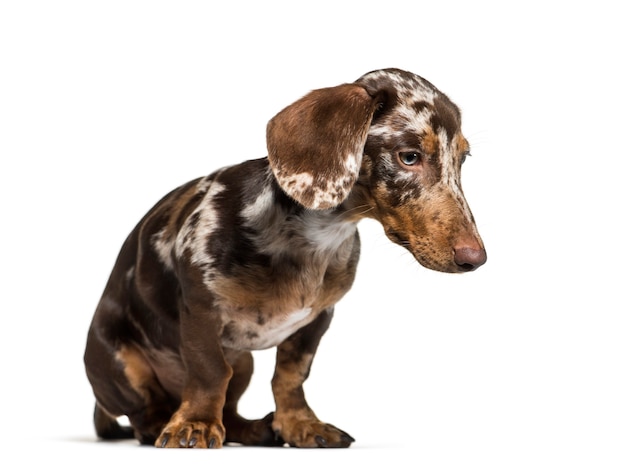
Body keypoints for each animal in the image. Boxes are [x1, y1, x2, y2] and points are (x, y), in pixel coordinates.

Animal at [81, 66, 482, 448]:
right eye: (409, 157)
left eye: (462, 159)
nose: (475, 259)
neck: (317, 238)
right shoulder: (201, 309)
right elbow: (209, 371)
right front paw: (194, 424)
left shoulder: (316, 320)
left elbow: (290, 376)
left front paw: (300, 425)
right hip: (119, 361)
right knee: (144, 412)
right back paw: (165, 423)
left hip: (243, 362)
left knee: (229, 408)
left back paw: (254, 429)